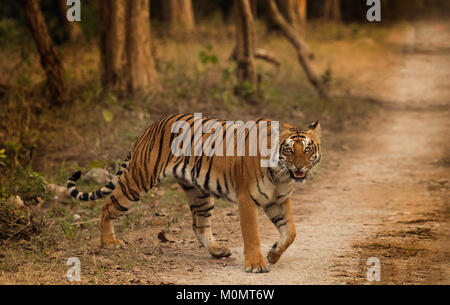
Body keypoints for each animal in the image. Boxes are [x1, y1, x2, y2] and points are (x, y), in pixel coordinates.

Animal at [66, 113, 320, 272]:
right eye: (288, 149)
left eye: (308, 149)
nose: (299, 168)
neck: (281, 175)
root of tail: (150, 127)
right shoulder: (246, 199)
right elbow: (252, 234)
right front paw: (256, 264)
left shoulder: (279, 200)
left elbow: (290, 233)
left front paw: (273, 255)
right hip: (138, 180)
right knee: (108, 205)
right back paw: (109, 242)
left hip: (199, 193)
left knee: (199, 225)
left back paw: (217, 251)